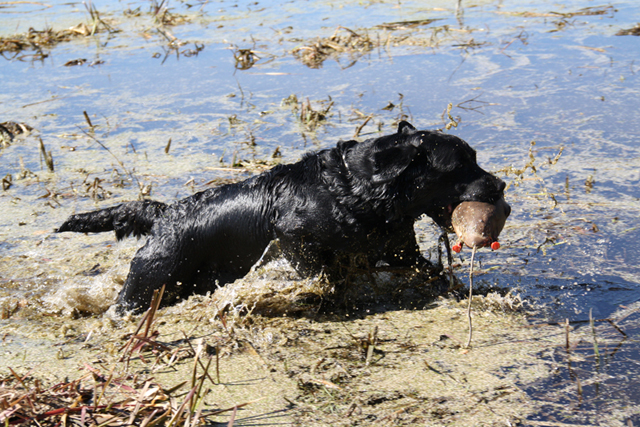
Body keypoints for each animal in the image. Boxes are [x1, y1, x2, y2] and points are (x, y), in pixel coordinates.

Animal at [57, 122, 508, 312]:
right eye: (462, 165)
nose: (501, 185)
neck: (359, 192)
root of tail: (165, 215)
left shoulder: (398, 249)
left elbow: (429, 271)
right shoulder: (295, 239)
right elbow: (319, 276)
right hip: (151, 280)